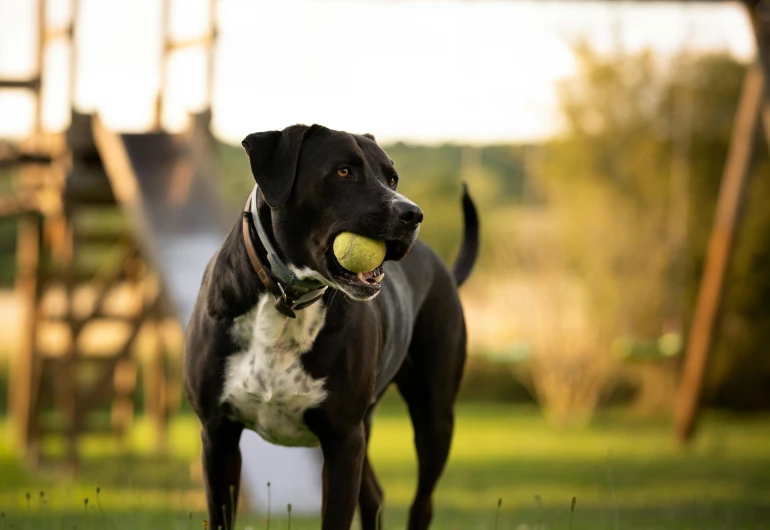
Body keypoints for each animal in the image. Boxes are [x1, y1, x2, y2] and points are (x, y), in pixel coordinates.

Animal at [184, 122, 476, 528]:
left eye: (392, 178)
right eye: (343, 171)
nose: (413, 213)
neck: (286, 300)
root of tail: (444, 269)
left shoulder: (343, 441)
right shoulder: (218, 436)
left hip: (434, 416)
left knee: (422, 503)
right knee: (374, 496)